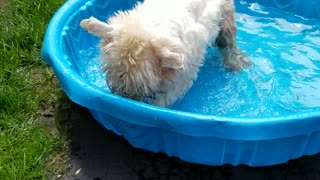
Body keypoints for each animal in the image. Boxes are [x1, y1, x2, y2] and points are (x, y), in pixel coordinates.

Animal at [80, 0, 250, 107]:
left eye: (140, 82)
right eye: (116, 74)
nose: (126, 97)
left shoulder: (183, 77)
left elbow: (165, 99)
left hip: (225, 16)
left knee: (227, 42)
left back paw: (234, 62)